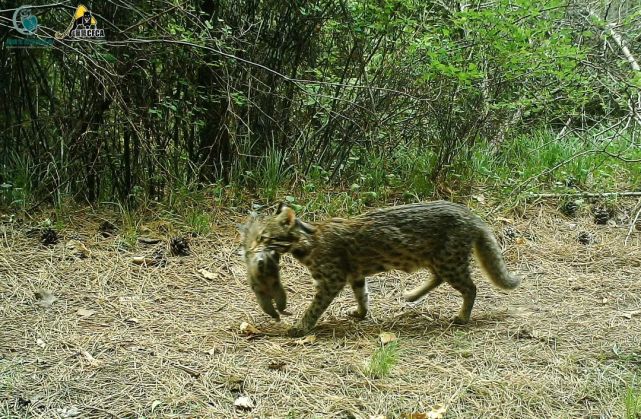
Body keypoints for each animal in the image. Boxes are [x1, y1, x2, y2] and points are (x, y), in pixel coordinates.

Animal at [242, 201, 516, 338]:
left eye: (264, 237)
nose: (249, 248)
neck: (309, 240)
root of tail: (471, 215)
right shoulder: (355, 275)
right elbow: (362, 295)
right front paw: (361, 313)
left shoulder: (332, 279)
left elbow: (315, 308)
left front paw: (301, 327)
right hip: (437, 259)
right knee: (438, 278)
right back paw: (413, 295)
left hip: (450, 261)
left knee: (471, 287)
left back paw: (462, 316)